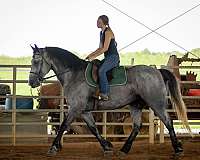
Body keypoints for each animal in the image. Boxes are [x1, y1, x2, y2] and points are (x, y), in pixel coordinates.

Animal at [29, 44, 191, 157]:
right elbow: (93, 129)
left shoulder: (75, 108)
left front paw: (53, 148)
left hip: (156, 104)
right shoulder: (84, 111)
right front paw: (107, 146)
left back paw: (178, 149)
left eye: (36, 61)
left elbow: (63, 126)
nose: (31, 82)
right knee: (137, 126)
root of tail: (157, 71)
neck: (74, 74)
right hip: (136, 105)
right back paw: (124, 149)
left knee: (168, 122)